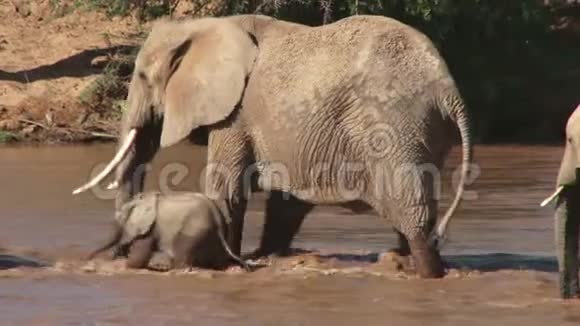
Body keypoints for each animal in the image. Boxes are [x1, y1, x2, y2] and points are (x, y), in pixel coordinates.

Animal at [87, 192, 250, 272]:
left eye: (120, 218)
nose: (87, 258)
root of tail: (217, 216)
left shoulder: (151, 226)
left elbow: (139, 257)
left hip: (193, 231)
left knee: (182, 257)